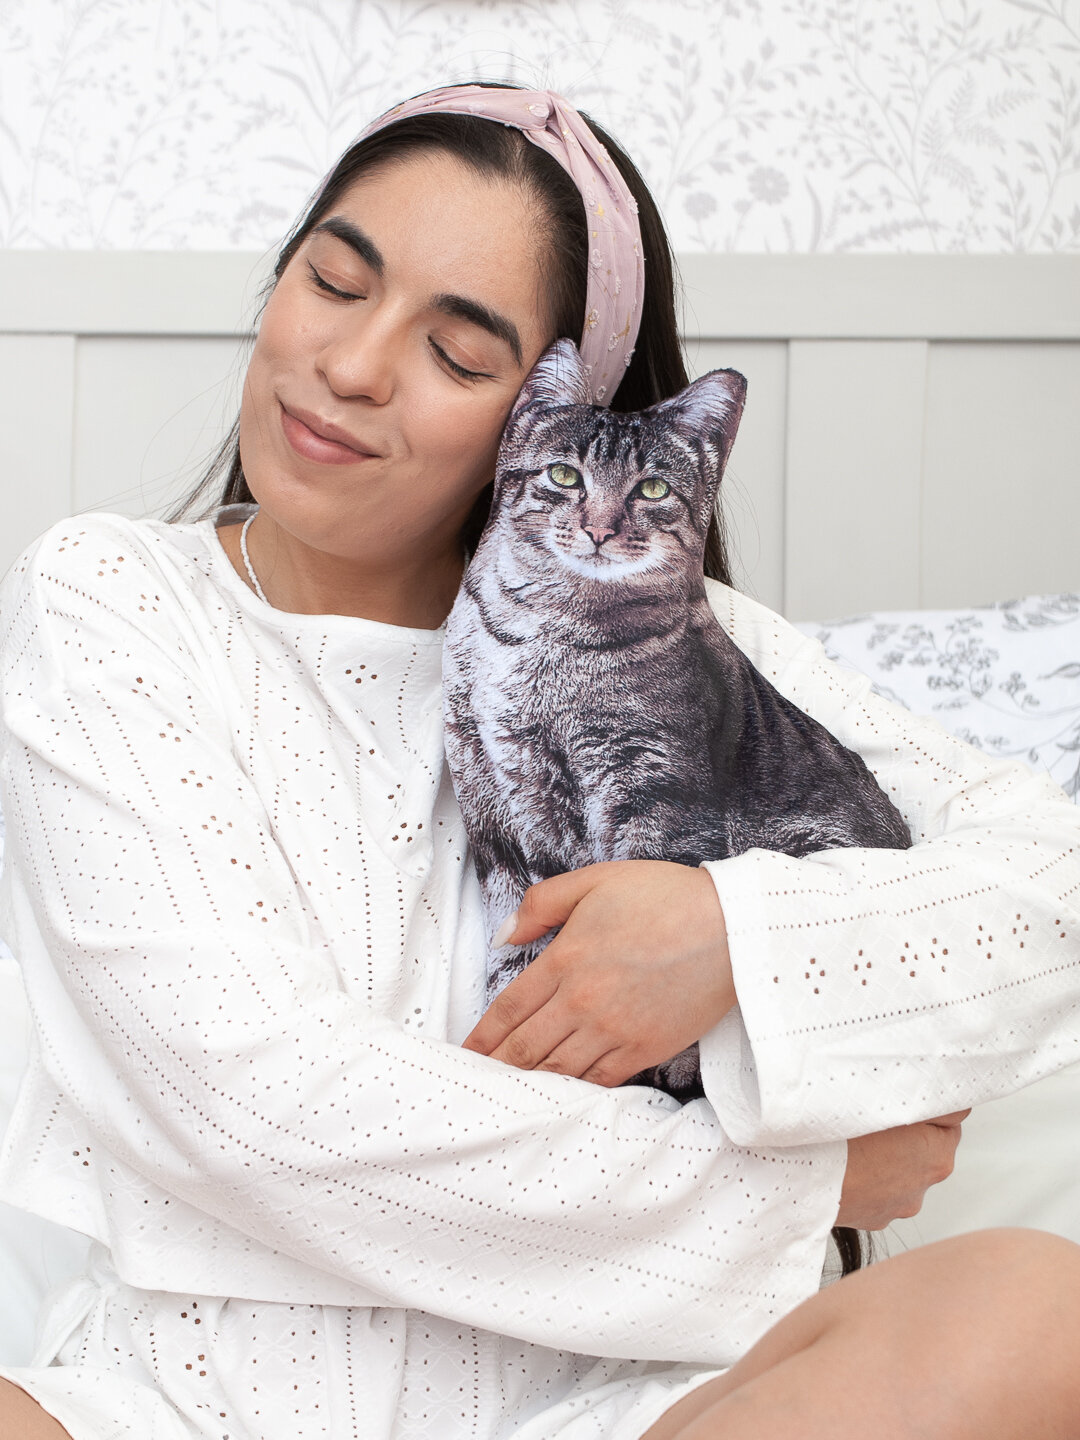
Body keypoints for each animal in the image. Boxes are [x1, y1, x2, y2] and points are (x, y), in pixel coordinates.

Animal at [442, 337, 911, 1102]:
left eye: (653, 490)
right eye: (564, 475)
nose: (600, 529)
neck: (536, 634)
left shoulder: (651, 782)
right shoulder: (495, 809)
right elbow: (518, 943)